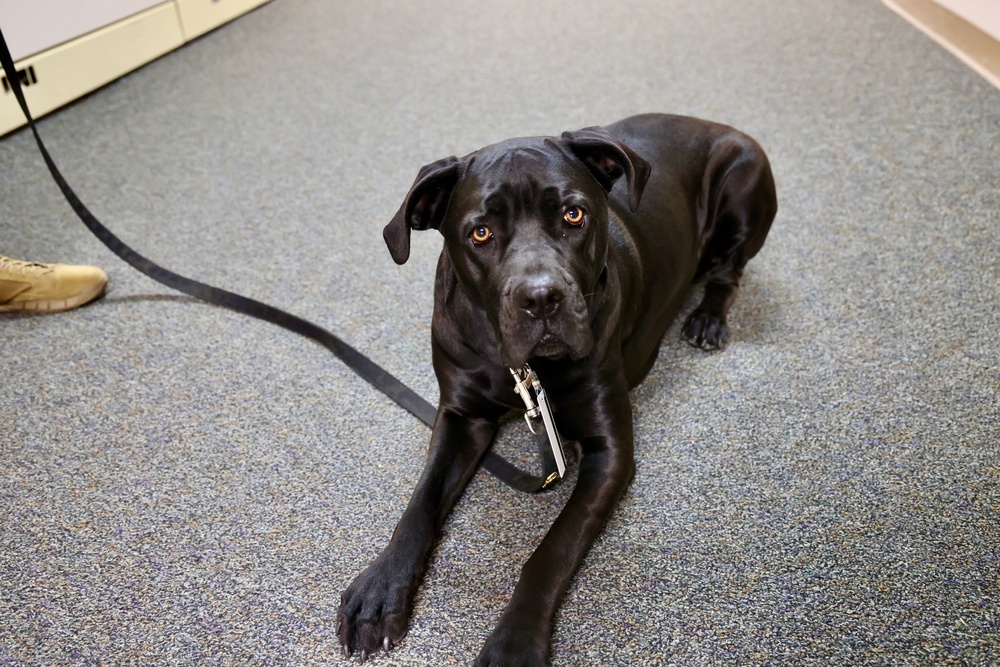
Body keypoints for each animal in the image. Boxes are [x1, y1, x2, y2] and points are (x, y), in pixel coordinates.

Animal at [340, 112, 776, 664]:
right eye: (480, 232)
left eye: (573, 215)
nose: (541, 298)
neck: (526, 372)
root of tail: (712, 122)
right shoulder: (460, 416)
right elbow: (420, 503)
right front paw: (379, 591)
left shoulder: (609, 451)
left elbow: (551, 551)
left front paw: (515, 640)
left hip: (745, 186)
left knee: (729, 272)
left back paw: (708, 319)